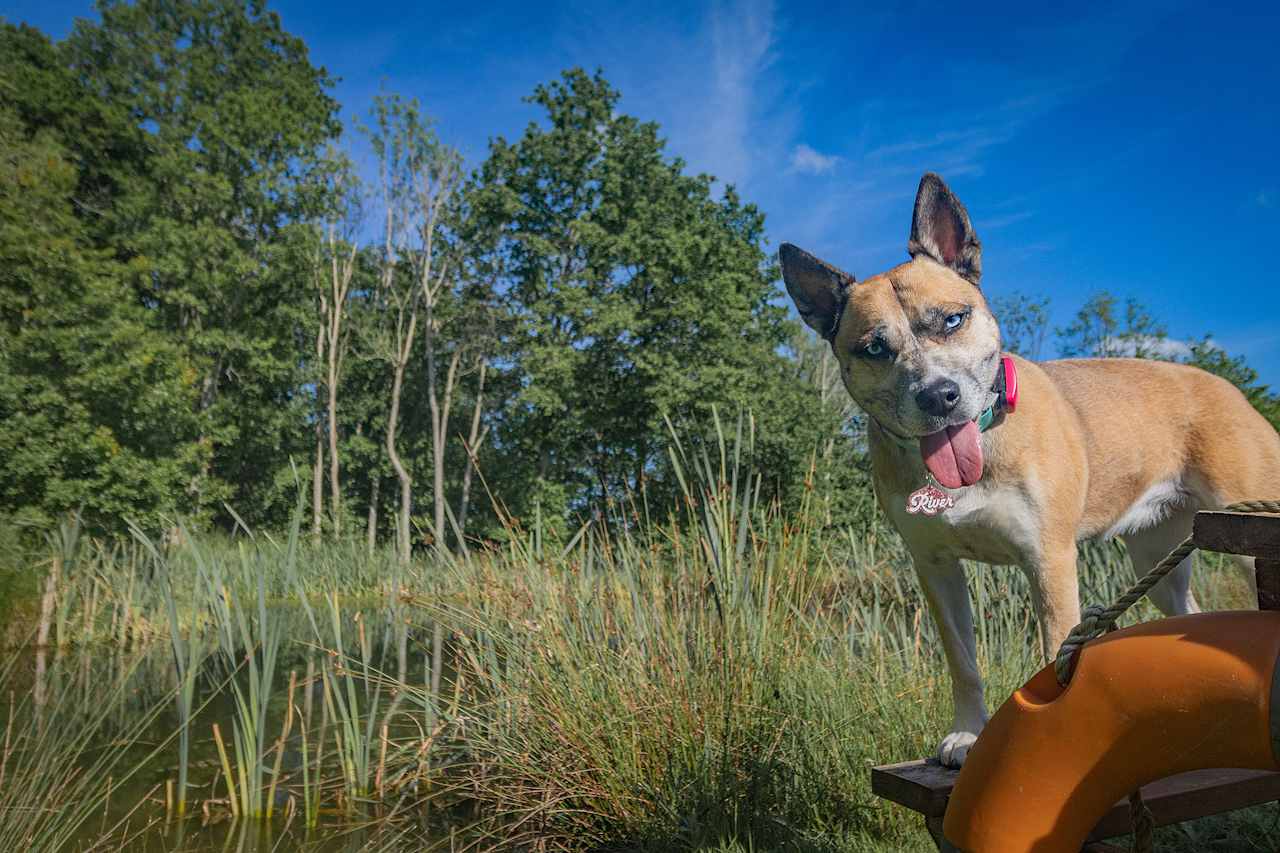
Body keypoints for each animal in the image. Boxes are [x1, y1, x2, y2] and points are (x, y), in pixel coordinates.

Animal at [778, 172, 1280, 763]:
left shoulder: (1049, 562)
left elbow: (1053, 655)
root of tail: (1227, 388)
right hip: (1157, 558)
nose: (939, 396)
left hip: (1244, 528)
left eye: (953, 319)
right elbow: (963, 662)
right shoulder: (936, 568)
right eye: (874, 349)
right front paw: (969, 733)